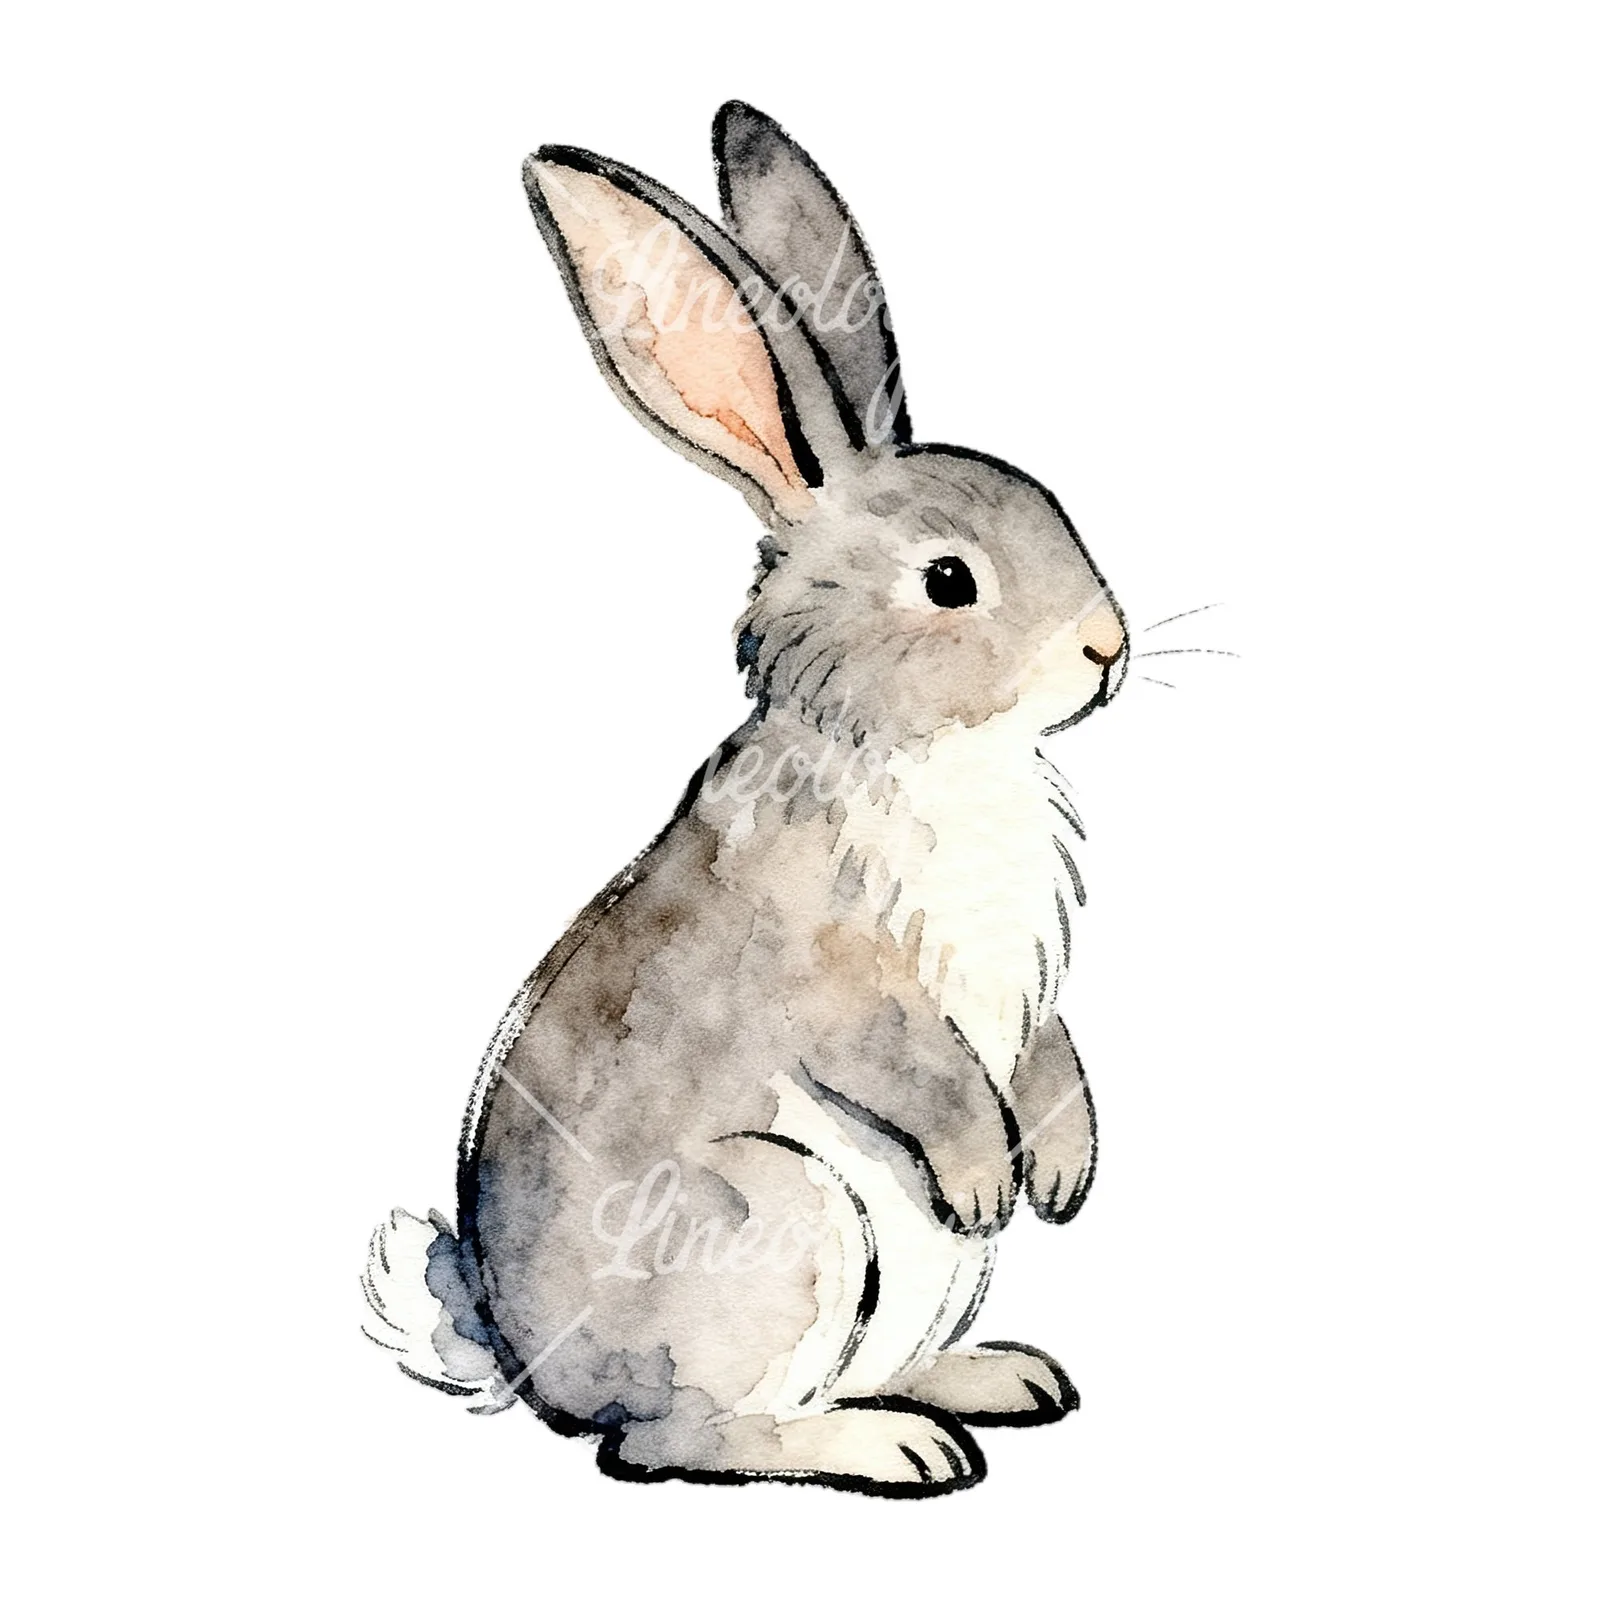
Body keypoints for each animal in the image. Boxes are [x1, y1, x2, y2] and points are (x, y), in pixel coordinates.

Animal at [362, 100, 1128, 1497]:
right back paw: (894, 1446)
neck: (922, 749)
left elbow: (1050, 1052)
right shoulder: (839, 976)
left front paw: (1062, 1168)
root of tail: (529, 1371)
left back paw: (996, 1379)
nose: (1109, 649)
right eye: (948, 580)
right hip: (782, 1222)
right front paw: (991, 1178)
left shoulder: (1035, 995)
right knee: (669, 1440)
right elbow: (918, 1067)